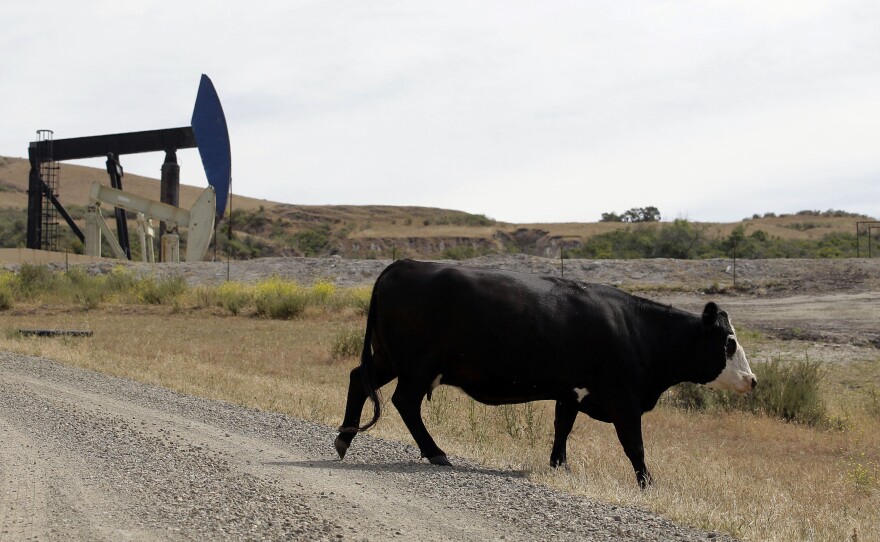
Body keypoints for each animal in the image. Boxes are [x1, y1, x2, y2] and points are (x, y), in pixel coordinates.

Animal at [335, 259, 756, 488]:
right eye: (729, 342)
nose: (752, 381)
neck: (637, 330)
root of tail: (402, 264)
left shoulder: (570, 392)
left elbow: (562, 428)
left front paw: (559, 466)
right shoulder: (624, 399)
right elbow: (634, 445)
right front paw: (647, 483)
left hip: (388, 359)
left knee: (358, 379)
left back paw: (343, 439)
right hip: (416, 366)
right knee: (405, 401)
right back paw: (436, 454)